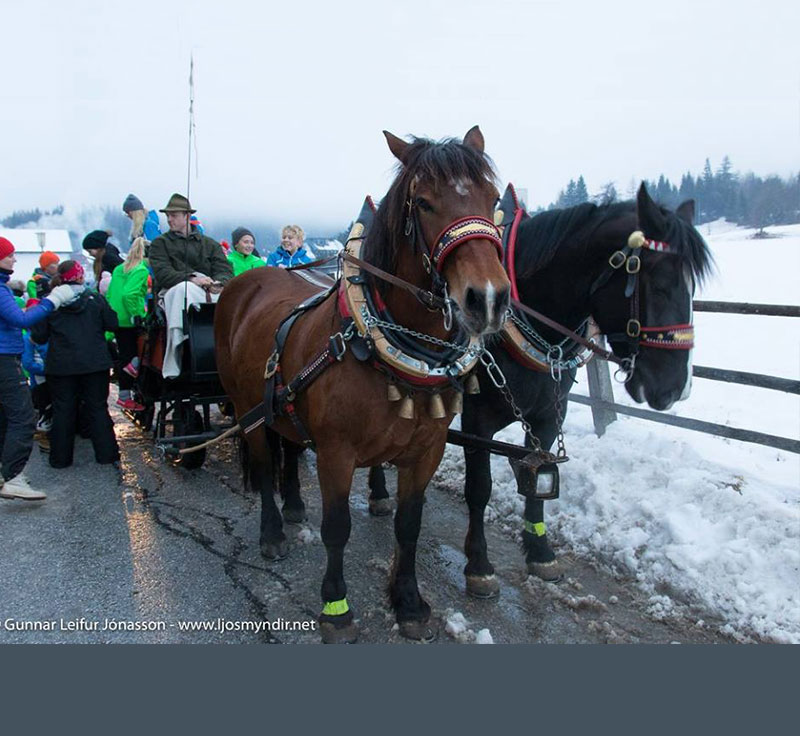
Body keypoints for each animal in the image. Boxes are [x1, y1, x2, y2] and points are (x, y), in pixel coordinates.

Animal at [216, 126, 510, 640]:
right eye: (425, 203)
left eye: (493, 198)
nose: (488, 298)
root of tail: (248, 280)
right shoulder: (337, 452)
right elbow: (337, 527)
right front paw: (336, 607)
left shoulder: (426, 449)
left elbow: (409, 524)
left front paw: (409, 602)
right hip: (246, 408)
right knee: (264, 463)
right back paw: (272, 532)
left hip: (281, 404)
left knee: (288, 448)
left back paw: (295, 504)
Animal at [368, 184, 712, 600]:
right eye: (659, 284)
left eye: (692, 290)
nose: (675, 388)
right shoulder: (477, 421)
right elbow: (479, 488)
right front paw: (479, 565)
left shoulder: (549, 416)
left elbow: (539, 483)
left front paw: (541, 551)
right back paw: (378, 493)